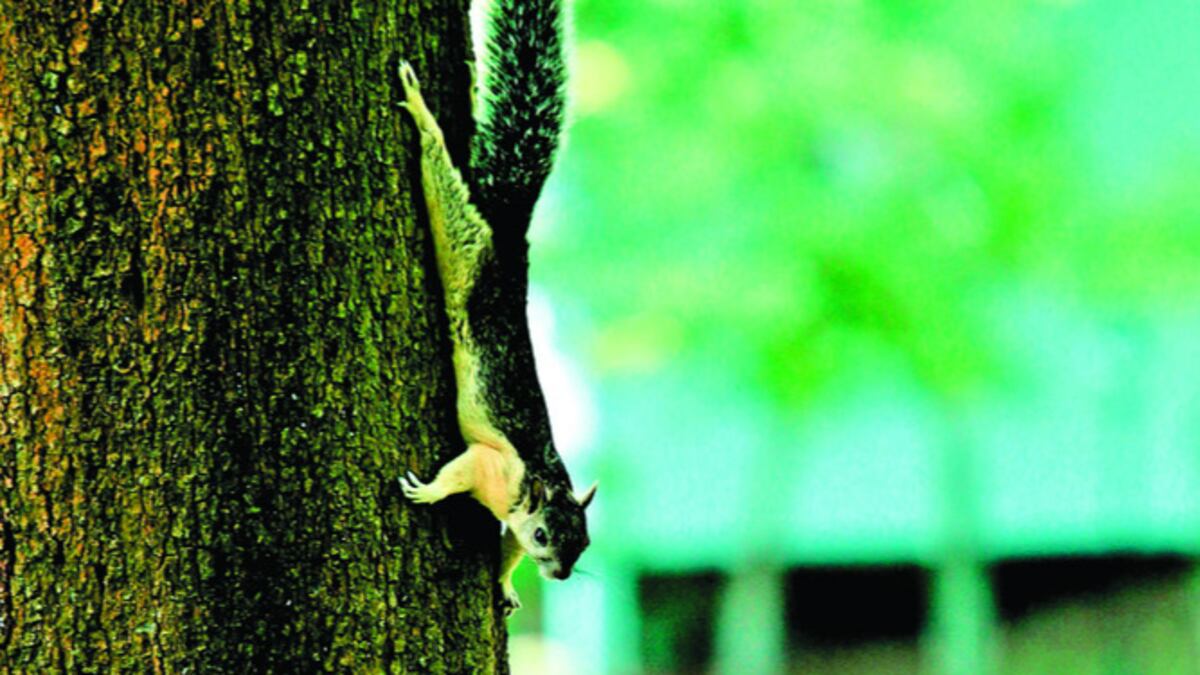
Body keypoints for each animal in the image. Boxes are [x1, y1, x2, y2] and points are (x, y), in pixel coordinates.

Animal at [397, 0, 596, 616]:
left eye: (585, 542)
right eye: (545, 534)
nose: (559, 575)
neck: (539, 482)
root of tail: (512, 231)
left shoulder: (510, 508)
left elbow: (505, 549)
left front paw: (506, 584)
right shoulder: (493, 464)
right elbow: (460, 471)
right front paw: (429, 490)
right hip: (466, 249)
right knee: (444, 187)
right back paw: (422, 115)